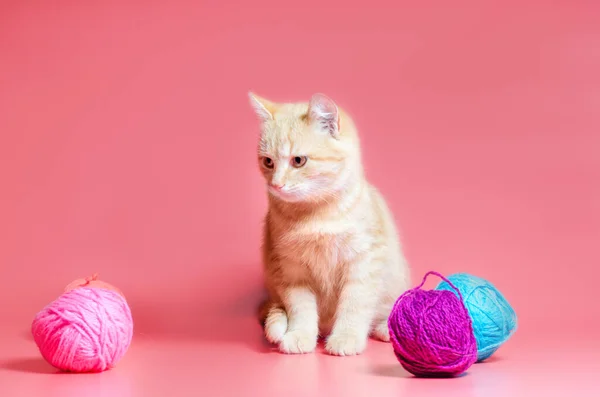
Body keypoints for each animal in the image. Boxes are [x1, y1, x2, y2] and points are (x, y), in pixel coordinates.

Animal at [246, 93, 410, 356]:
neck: (315, 215)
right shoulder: (290, 268)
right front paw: (300, 335)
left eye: (298, 161)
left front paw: (346, 337)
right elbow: (300, 307)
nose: (276, 185)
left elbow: (355, 303)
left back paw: (387, 327)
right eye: (268, 162)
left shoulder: (364, 262)